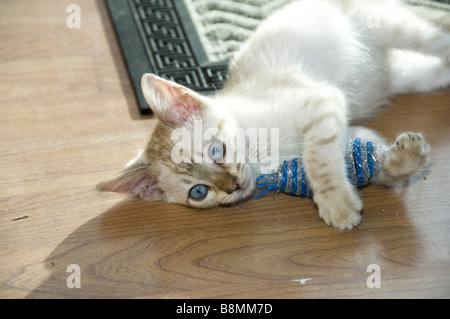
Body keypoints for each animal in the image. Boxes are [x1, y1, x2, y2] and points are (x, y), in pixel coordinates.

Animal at [99, 0, 450, 230]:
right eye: (198, 192)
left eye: (216, 151)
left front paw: (336, 203)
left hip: (398, 29)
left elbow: (318, 160)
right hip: (411, 76)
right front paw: (406, 160)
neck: (264, 155)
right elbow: (371, 160)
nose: (232, 186)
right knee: (436, 69)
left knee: (440, 39)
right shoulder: (349, 129)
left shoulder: (322, 102)